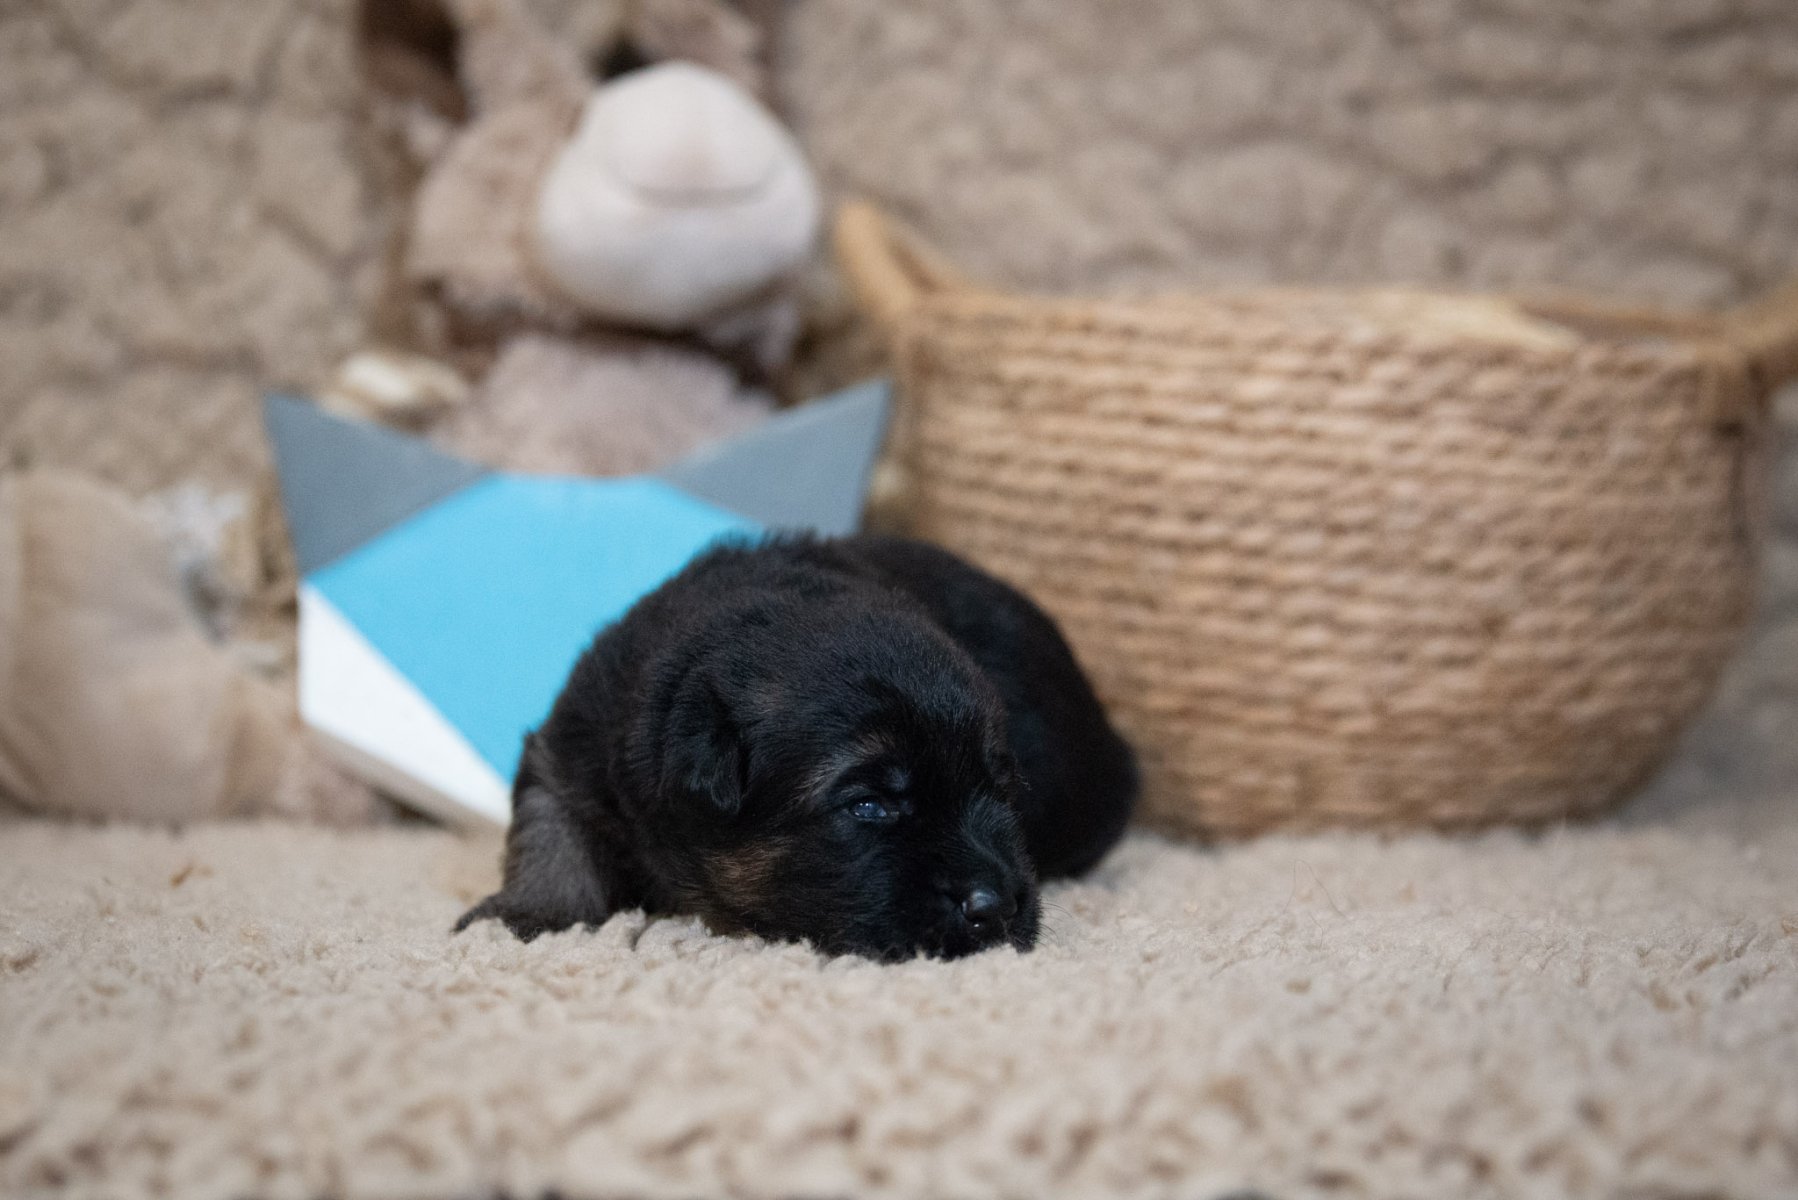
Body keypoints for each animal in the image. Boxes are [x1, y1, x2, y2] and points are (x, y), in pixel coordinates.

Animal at [457, 534, 1137, 960]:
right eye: (869, 806)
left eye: (1001, 791)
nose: (995, 908)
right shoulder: (575, 746)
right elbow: (549, 832)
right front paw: (530, 915)